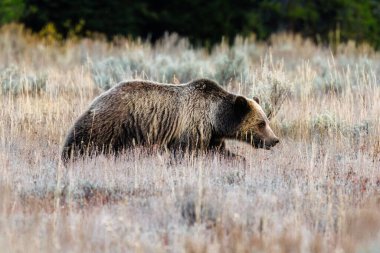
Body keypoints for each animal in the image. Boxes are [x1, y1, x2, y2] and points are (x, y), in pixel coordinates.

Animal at [60, 78, 278, 163]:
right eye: (261, 123)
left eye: (266, 120)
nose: (275, 140)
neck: (216, 118)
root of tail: (99, 97)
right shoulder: (192, 126)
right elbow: (185, 152)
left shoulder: (210, 135)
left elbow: (219, 152)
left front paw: (239, 160)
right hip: (112, 122)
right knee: (83, 140)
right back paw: (68, 157)